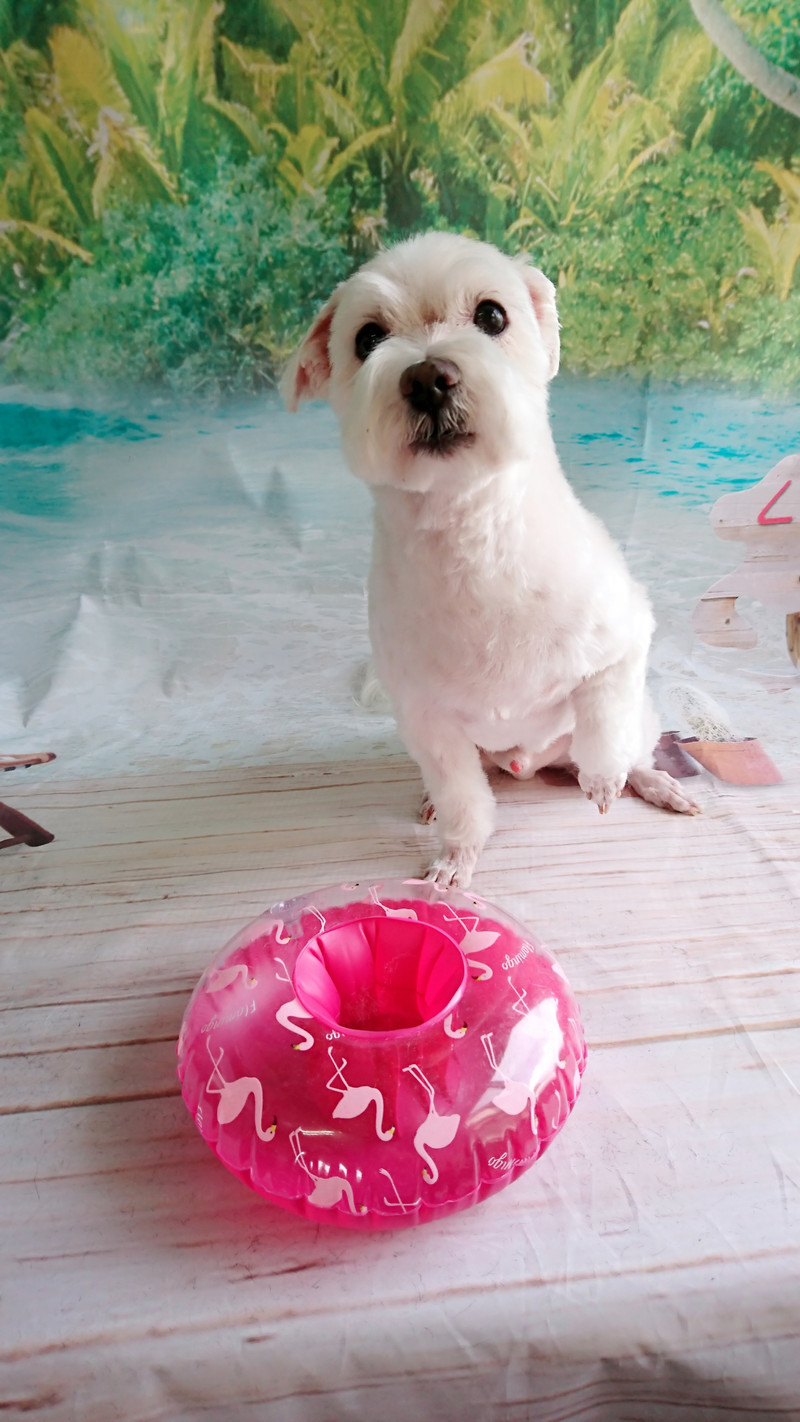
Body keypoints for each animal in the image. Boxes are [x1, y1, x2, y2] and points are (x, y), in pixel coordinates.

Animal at [283, 232, 698, 887]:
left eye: (492, 316)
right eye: (367, 338)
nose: (428, 378)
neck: (472, 540)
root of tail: (536, 763)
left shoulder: (624, 637)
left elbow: (604, 715)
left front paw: (604, 777)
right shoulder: (429, 723)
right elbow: (462, 798)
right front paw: (457, 857)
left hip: (640, 719)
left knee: (633, 746)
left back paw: (652, 782)